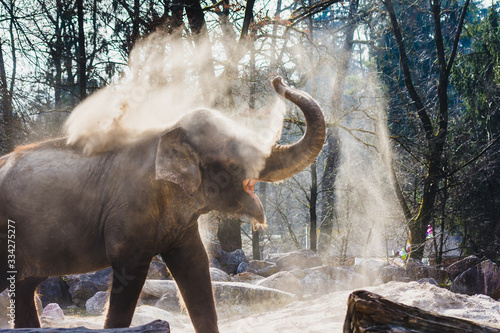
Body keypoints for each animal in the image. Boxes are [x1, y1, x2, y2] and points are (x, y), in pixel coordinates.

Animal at [0, 76, 326, 332]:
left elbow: (196, 267)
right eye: (233, 162)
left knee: (25, 286)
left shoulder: (181, 224)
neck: (168, 131)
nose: (277, 80)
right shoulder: (128, 214)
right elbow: (129, 277)